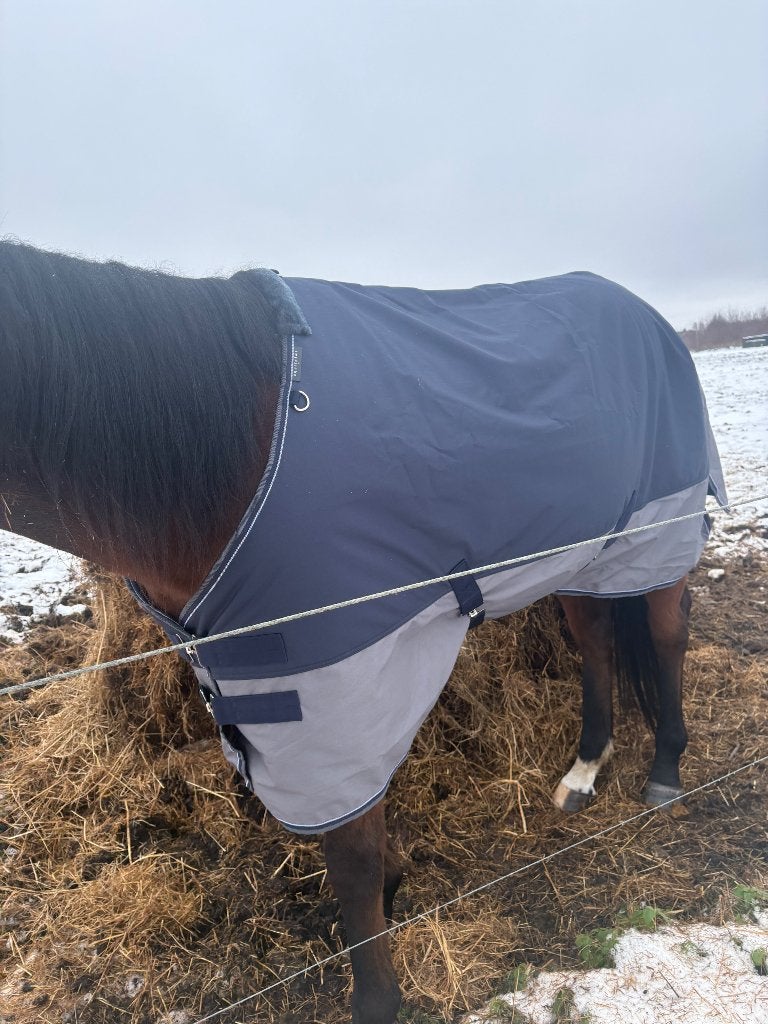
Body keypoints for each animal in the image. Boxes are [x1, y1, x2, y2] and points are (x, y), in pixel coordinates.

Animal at [0, 241, 726, 1024]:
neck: (232, 456)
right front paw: (392, 888)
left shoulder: (336, 690)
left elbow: (351, 860)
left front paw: (378, 992)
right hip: (588, 554)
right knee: (597, 644)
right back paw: (584, 771)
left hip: (658, 534)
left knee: (666, 639)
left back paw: (664, 769)